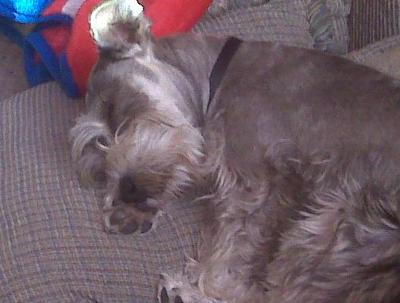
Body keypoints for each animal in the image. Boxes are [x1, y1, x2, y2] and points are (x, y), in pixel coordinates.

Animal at [70, 0, 400, 303]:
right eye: (99, 161)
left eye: (118, 108)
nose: (127, 189)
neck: (216, 78)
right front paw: (128, 213)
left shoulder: (253, 181)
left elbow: (228, 258)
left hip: (333, 221)